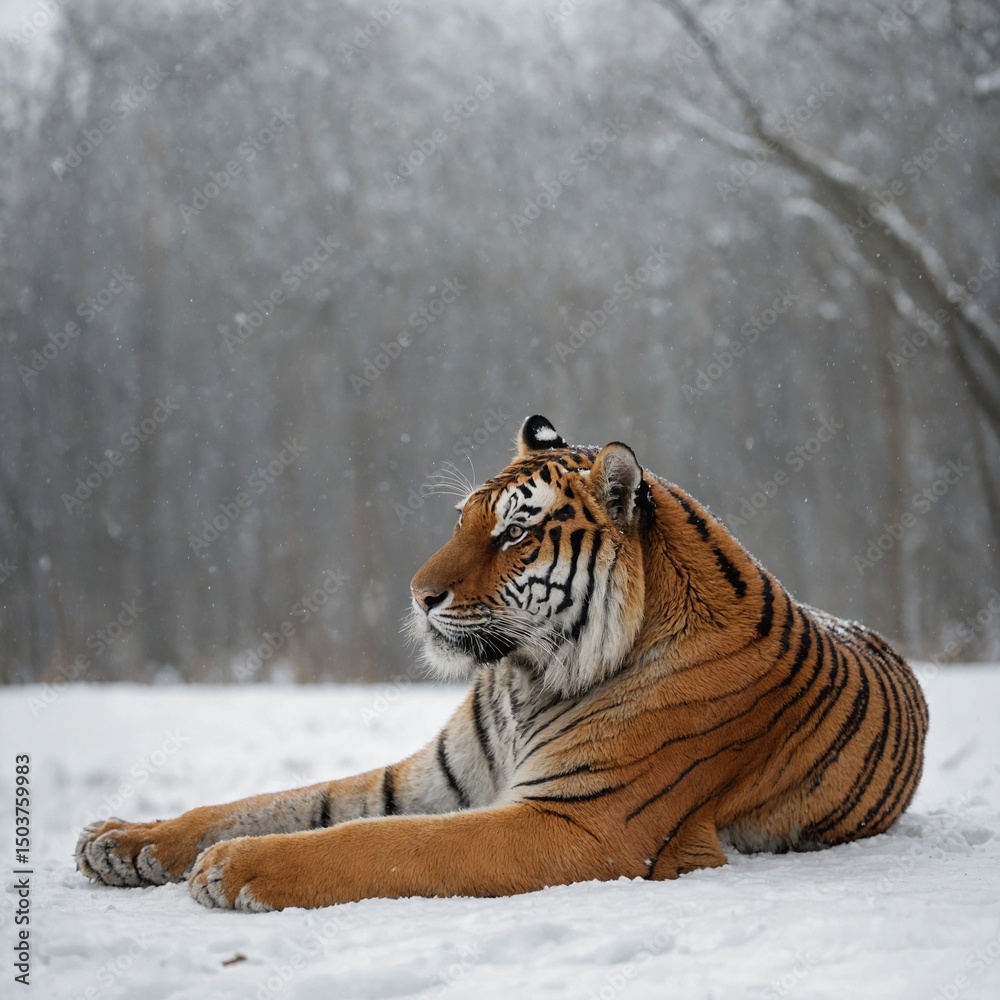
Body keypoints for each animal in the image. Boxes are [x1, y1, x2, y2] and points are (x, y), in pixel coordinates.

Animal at [76, 415, 928, 912]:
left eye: (515, 533)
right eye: (462, 519)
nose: (417, 594)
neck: (528, 678)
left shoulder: (580, 822)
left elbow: (382, 845)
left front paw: (234, 868)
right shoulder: (432, 779)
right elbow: (284, 801)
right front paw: (122, 841)